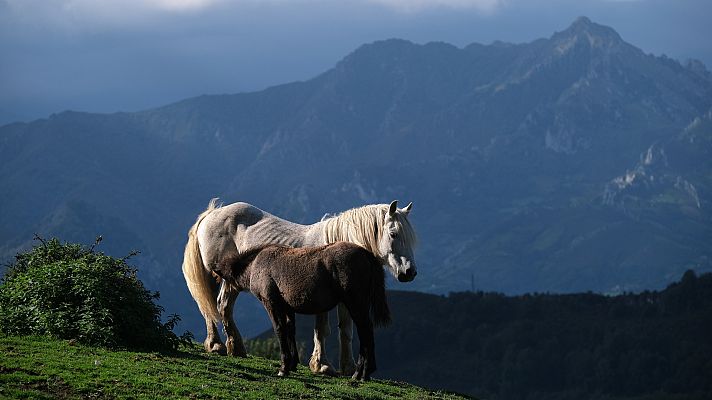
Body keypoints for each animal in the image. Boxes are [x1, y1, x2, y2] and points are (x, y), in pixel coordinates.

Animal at [182, 198, 418, 376]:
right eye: (394, 234)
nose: (409, 272)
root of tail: (213, 212)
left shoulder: (345, 300)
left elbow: (346, 331)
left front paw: (349, 368)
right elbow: (322, 330)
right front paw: (322, 365)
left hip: (232, 282)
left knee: (223, 306)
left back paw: (237, 348)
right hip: (215, 277)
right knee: (209, 307)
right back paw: (216, 345)